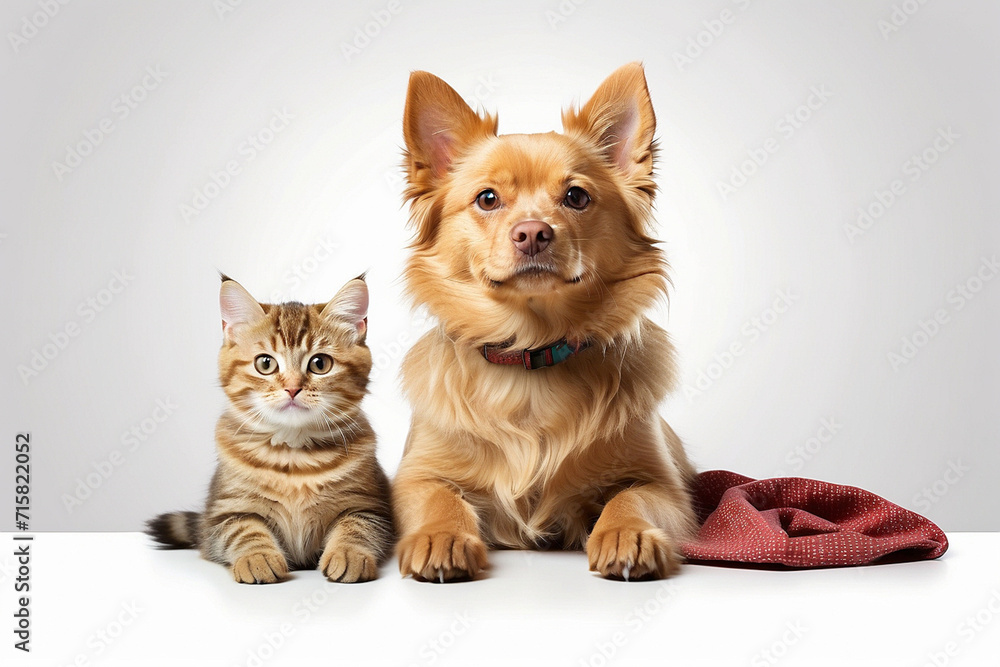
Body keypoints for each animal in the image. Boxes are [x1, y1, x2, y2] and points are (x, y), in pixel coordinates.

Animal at [146, 274, 394, 580]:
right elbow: (244, 530)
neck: (294, 455)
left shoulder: (371, 506)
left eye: (320, 363)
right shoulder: (222, 515)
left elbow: (357, 526)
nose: (292, 388)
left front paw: (349, 554)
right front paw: (258, 558)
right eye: (265, 363)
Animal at [392, 62, 696, 580]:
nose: (533, 233)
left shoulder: (666, 489)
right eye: (487, 199)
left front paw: (626, 533)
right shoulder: (413, 477)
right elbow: (438, 497)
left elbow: (633, 498)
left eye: (576, 196)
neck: (531, 352)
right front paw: (441, 536)